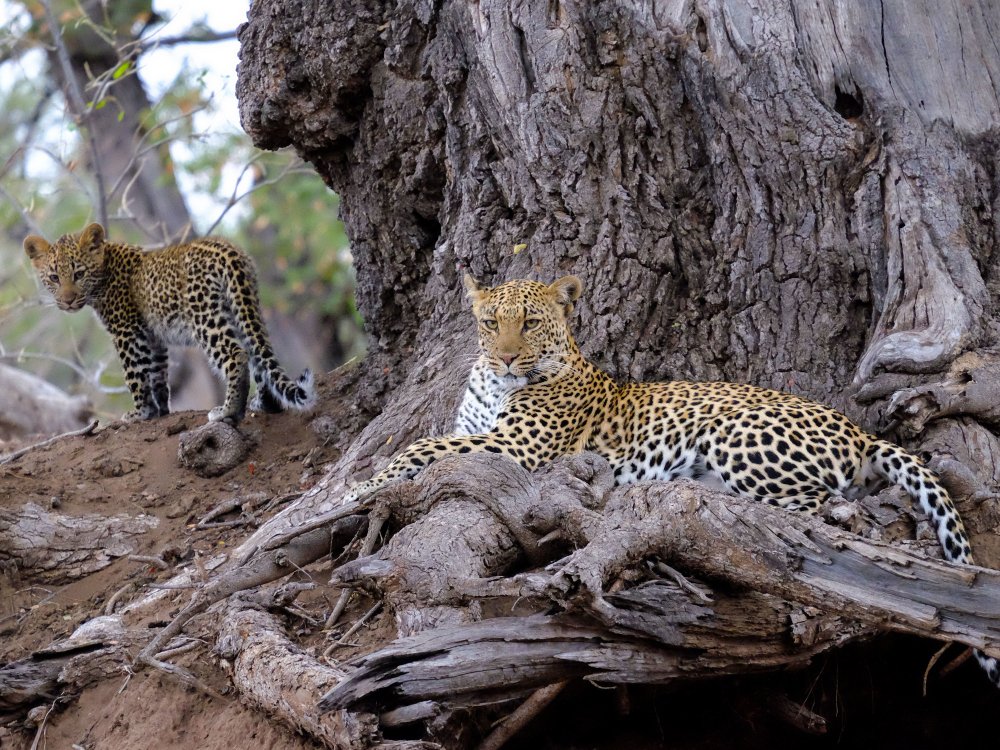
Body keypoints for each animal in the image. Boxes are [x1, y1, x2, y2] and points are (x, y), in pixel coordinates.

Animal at [24, 222, 315, 424]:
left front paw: (140, 413)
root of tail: (228, 251)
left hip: (204, 316)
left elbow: (135, 375)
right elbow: (157, 374)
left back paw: (228, 411)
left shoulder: (127, 332)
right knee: (258, 354)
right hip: (242, 307)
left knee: (236, 354)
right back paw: (265, 405)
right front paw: (160, 411)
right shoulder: (152, 336)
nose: (68, 300)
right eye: (54, 277)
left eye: (79, 274)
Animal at [346, 273, 999, 686]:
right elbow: (429, 440)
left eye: (529, 324)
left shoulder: (517, 447)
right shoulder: (485, 432)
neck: (495, 382)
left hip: (734, 436)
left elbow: (419, 445)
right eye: (489, 323)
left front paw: (360, 490)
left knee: (833, 510)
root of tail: (858, 431)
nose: (506, 358)